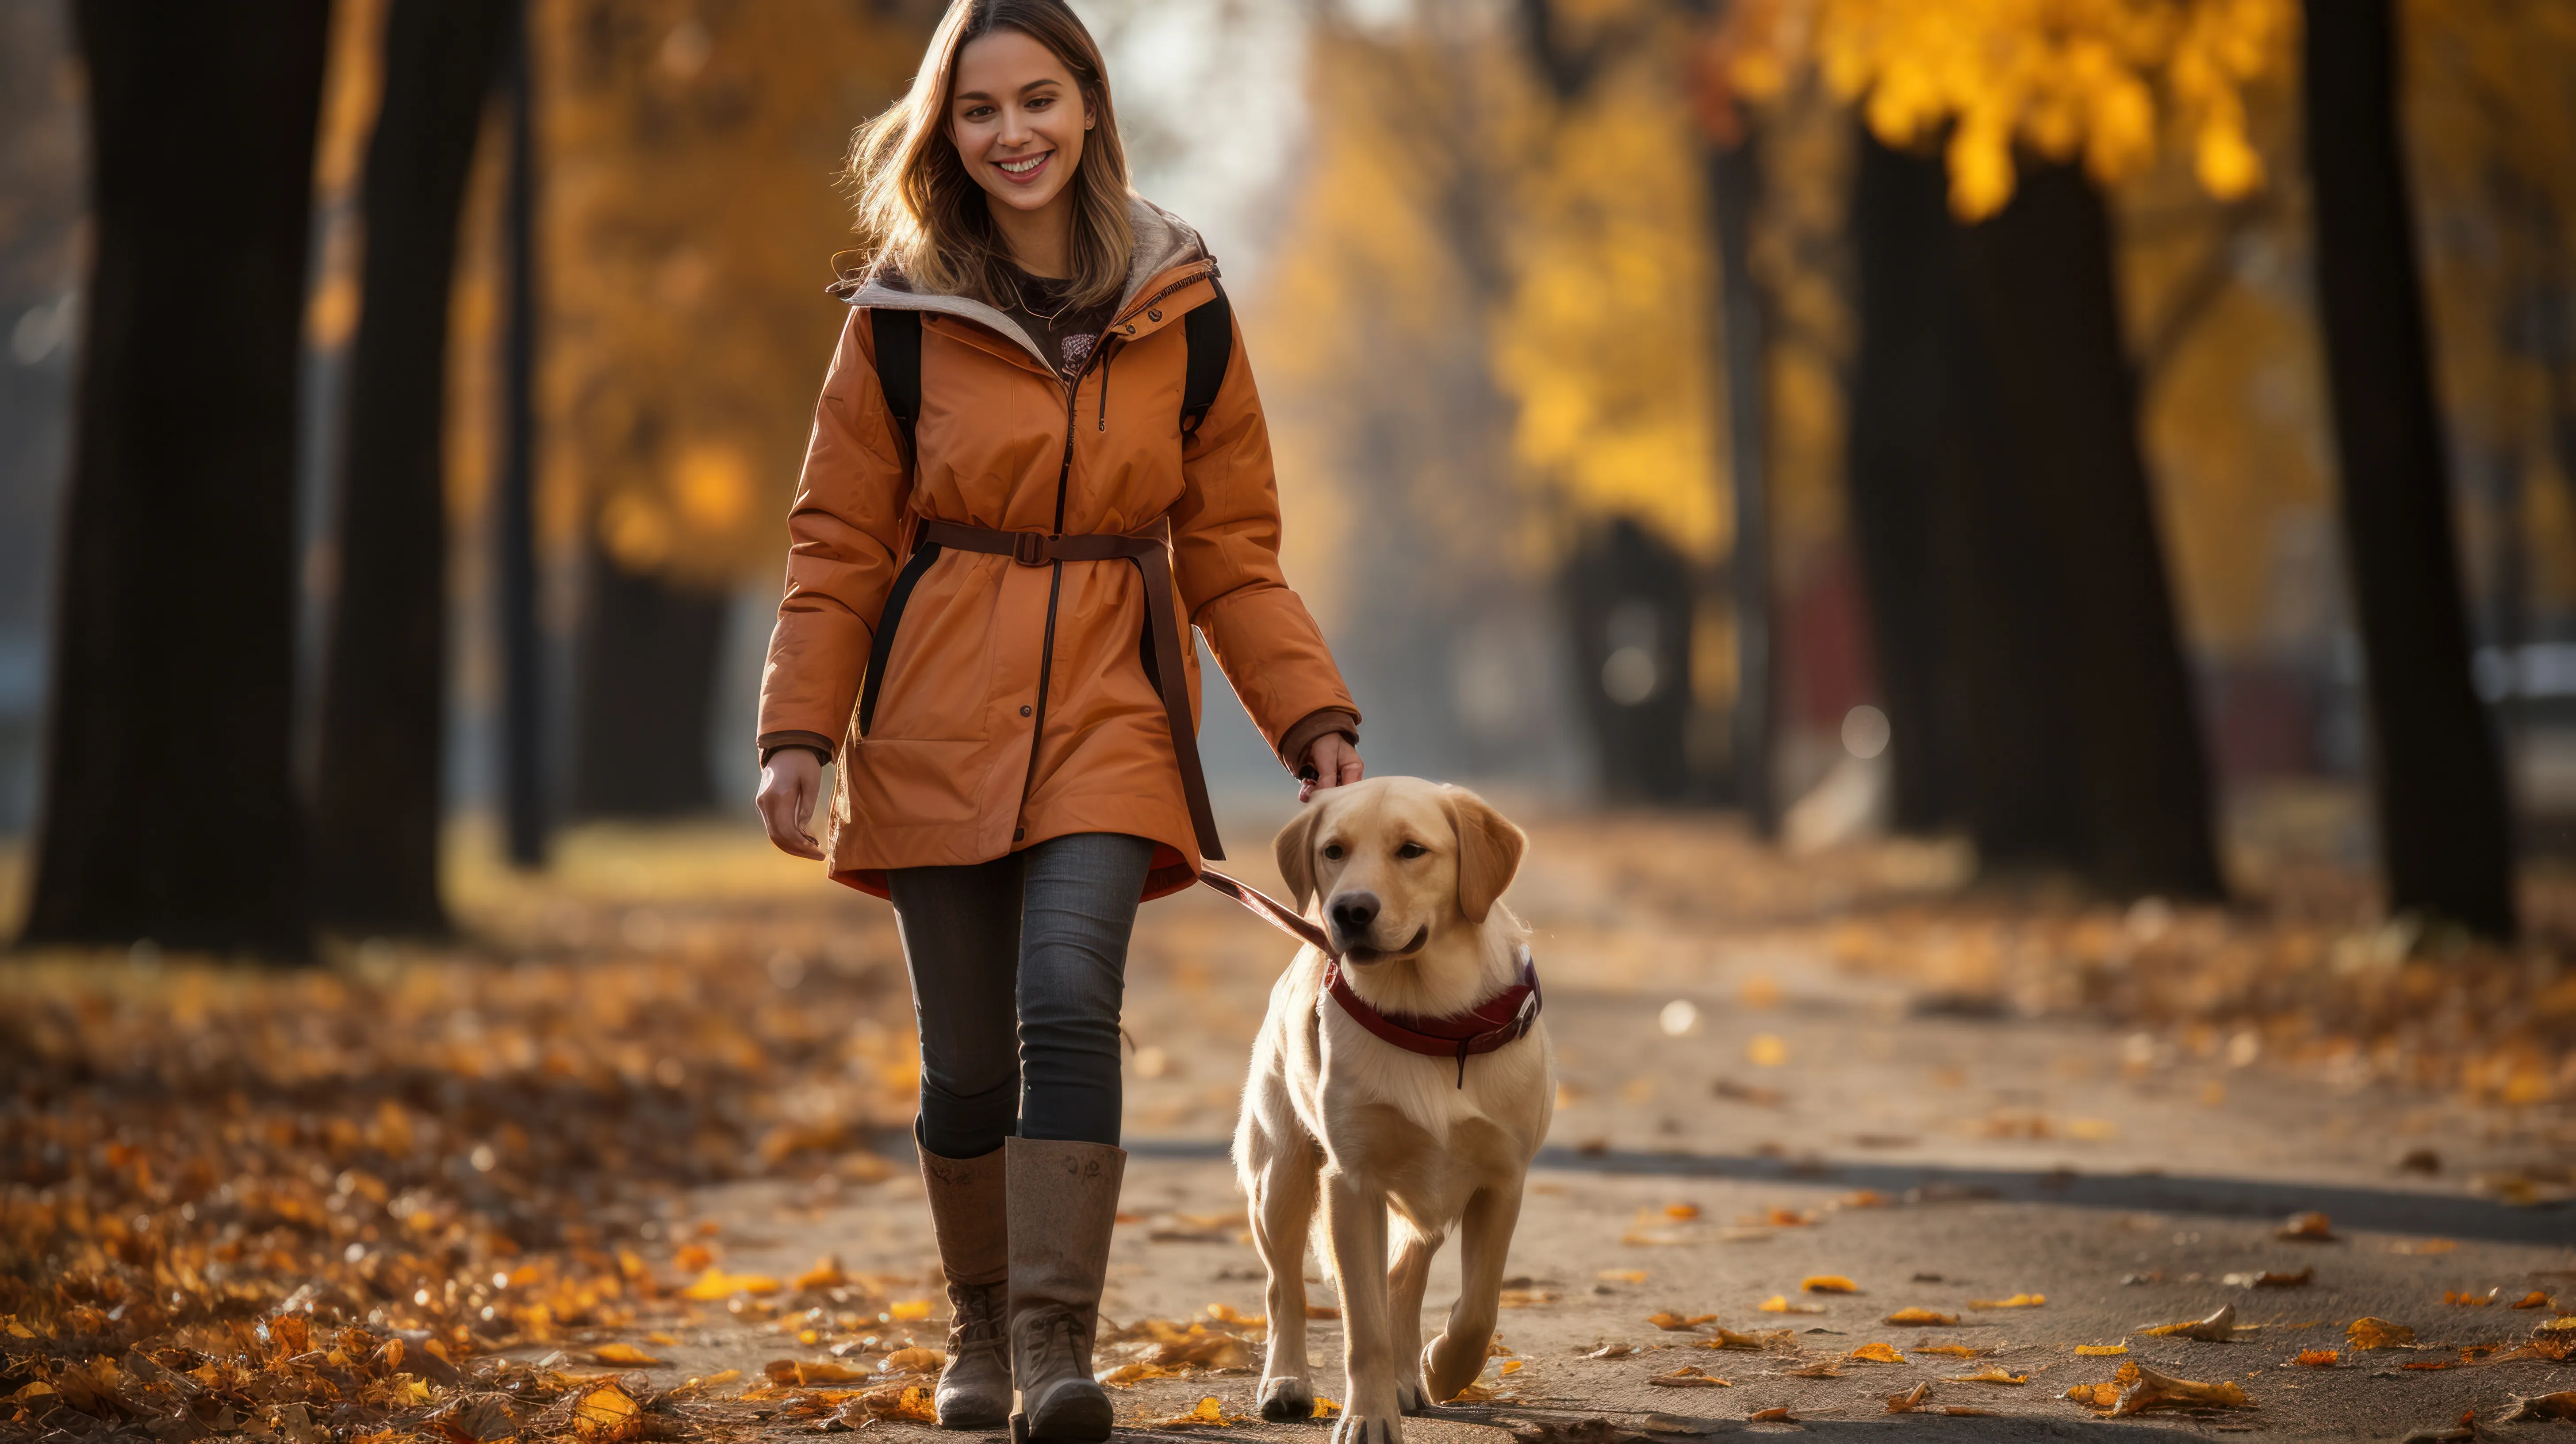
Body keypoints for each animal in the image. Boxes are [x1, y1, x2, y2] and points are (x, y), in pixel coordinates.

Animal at [1226, 779, 1545, 1444]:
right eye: (1333, 851)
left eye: (1412, 850)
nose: (1349, 911)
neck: (1428, 1020)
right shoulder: (1352, 1185)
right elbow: (1363, 1328)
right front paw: (1368, 1416)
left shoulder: (1502, 1181)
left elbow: (1480, 1306)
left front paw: (1444, 1368)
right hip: (1281, 1178)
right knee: (1284, 1289)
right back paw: (1287, 1382)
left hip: (1431, 1197)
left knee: (1405, 1274)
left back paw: (1410, 1375)